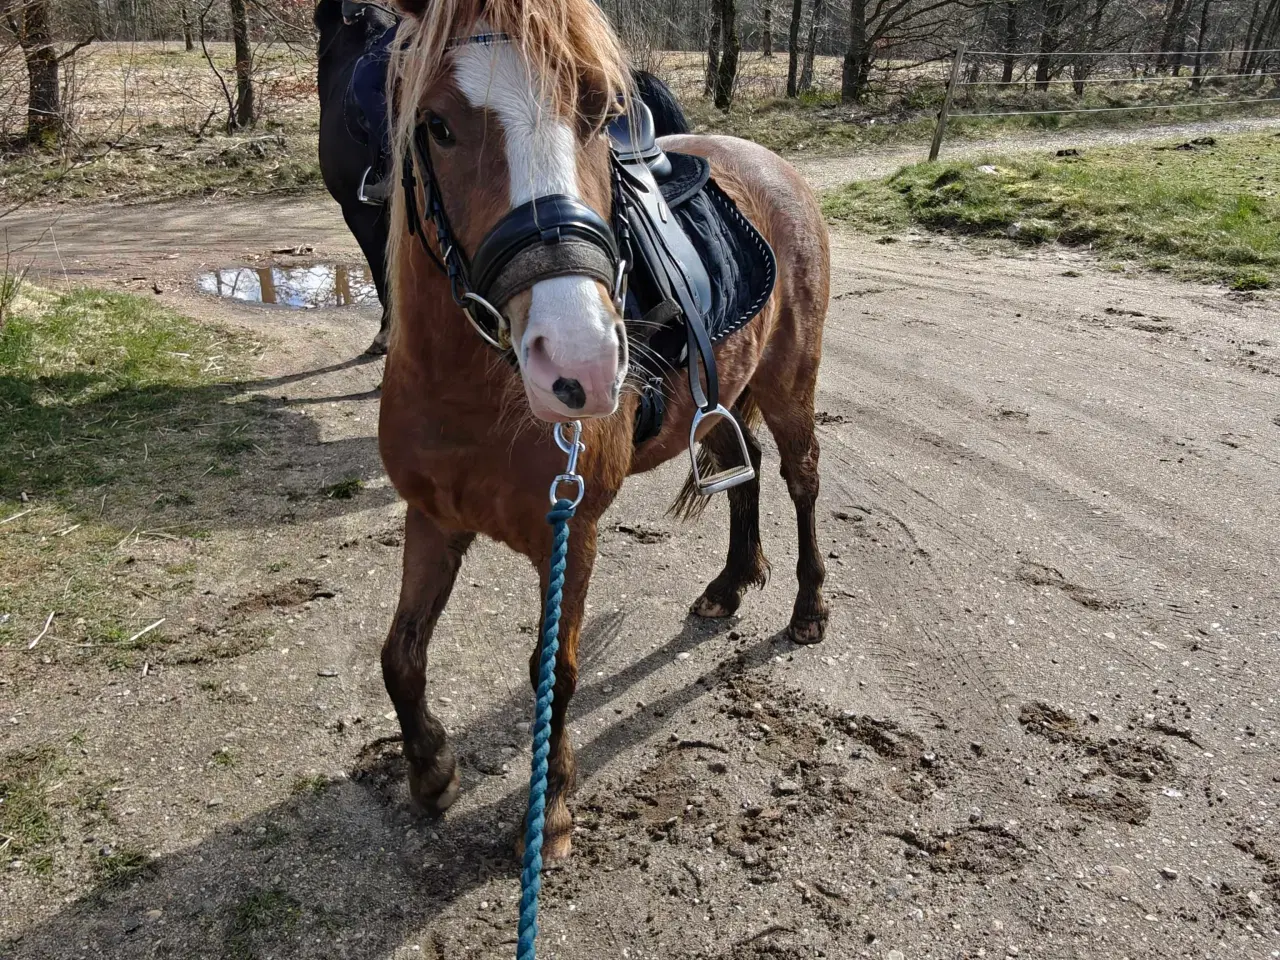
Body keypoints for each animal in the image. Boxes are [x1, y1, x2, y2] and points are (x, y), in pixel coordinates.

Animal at [377, 0, 829, 861]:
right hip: (721, 400)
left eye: (598, 111)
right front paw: (431, 771)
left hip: (791, 385)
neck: (469, 390)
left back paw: (810, 607)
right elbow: (401, 655)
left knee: (802, 478)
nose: (580, 360)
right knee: (747, 467)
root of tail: (774, 166)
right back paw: (730, 583)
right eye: (438, 125)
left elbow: (555, 670)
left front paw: (550, 808)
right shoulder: (433, 519)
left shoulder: (571, 531)